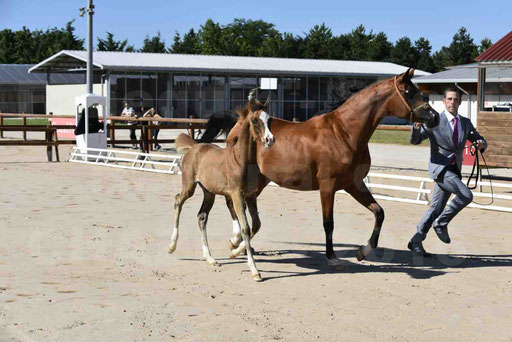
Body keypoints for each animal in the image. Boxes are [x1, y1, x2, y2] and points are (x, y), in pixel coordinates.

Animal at [168, 91, 274, 280]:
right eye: (255, 120)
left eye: (269, 119)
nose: (270, 140)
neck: (240, 160)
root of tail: (194, 147)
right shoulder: (236, 194)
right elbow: (245, 228)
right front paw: (254, 270)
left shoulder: (250, 195)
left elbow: (256, 225)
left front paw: (233, 250)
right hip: (189, 185)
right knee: (178, 201)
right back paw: (172, 246)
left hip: (209, 192)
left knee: (202, 217)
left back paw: (210, 258)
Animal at [214, 69, 438, 268]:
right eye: (408, 91)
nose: (434, 116)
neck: (343, 132)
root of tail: (239, 121)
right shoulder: (327, 186)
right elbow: (328, 223)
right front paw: (331, 257)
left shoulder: (353, 184)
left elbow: (379, 212)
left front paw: (362, 251)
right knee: (233, 202)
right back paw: (236, 241)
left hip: (262, 179)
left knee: (244, 203)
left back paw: (242, 245)